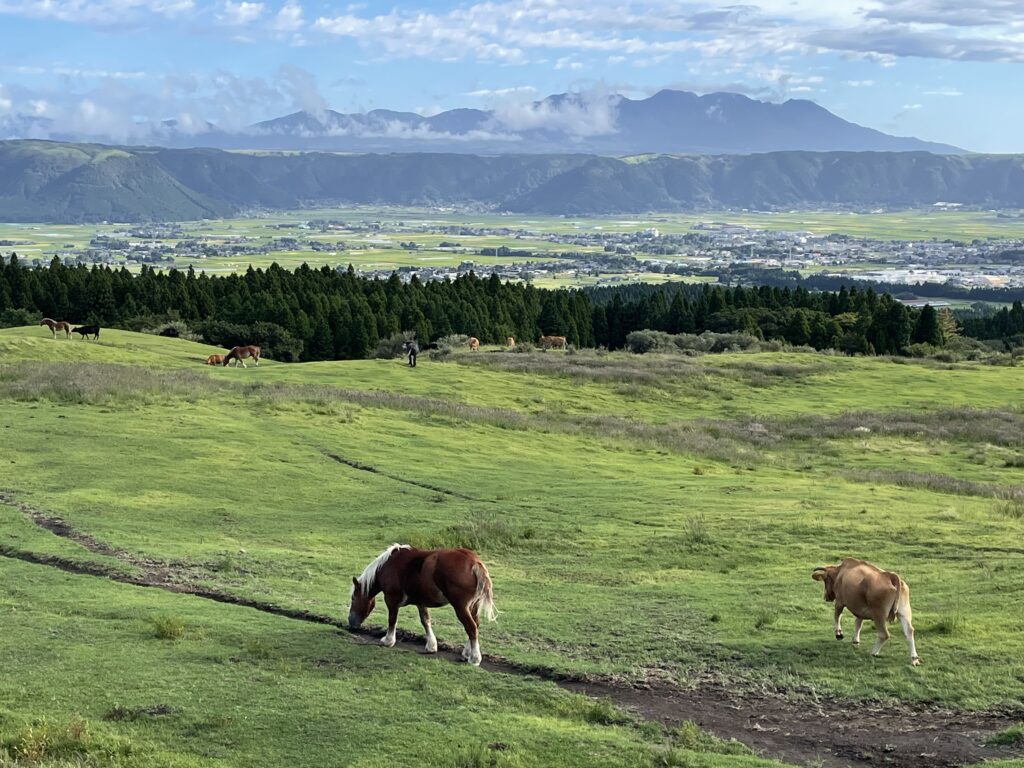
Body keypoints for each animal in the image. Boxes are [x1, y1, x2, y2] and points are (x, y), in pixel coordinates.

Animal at [350, 540, 497, 667]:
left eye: (353, 598)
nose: (351, 621)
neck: (388, 566)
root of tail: (474, 563)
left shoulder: (391, 599)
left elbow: (392, 620)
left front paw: (388, 640)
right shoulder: (420, 601)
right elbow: (425, 621)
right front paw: (431, 645)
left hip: (461, 607)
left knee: (471, 627)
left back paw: (474, 658)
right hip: (473, 606)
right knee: (475, 625)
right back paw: (467, 653)